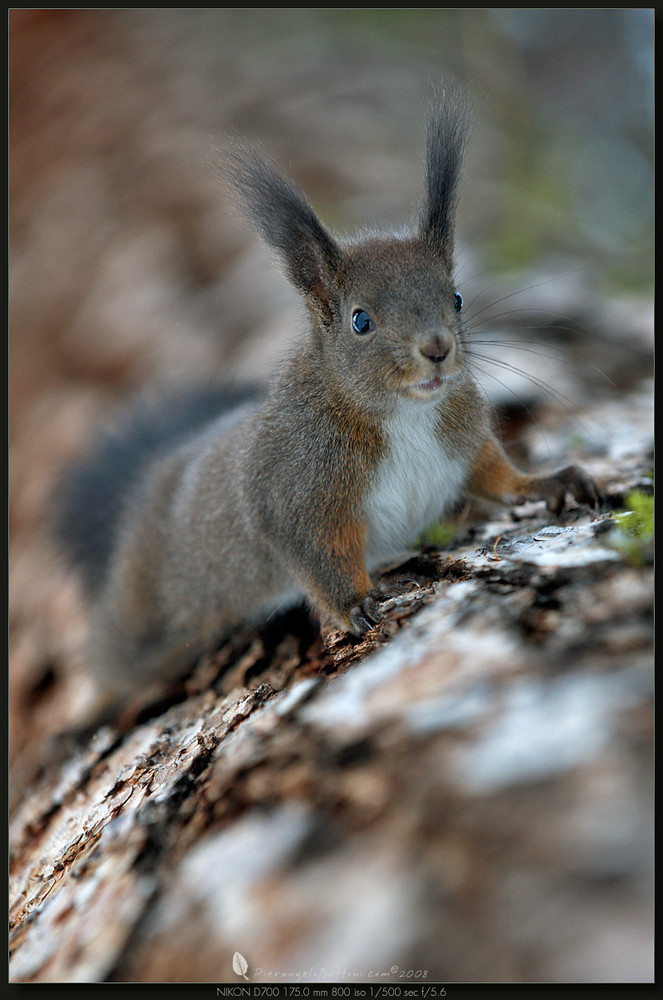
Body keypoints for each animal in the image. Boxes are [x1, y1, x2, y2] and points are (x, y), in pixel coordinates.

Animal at [52, 97, 600, 700]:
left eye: (456, 298)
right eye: (361, 320)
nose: (437, 349)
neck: (403, 412)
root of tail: (149, 483)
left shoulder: (464, 441)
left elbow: (498, 476)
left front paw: (550, 482)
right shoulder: (296, 494)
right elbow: (319, 557)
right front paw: (355, 604)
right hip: (146, 619)